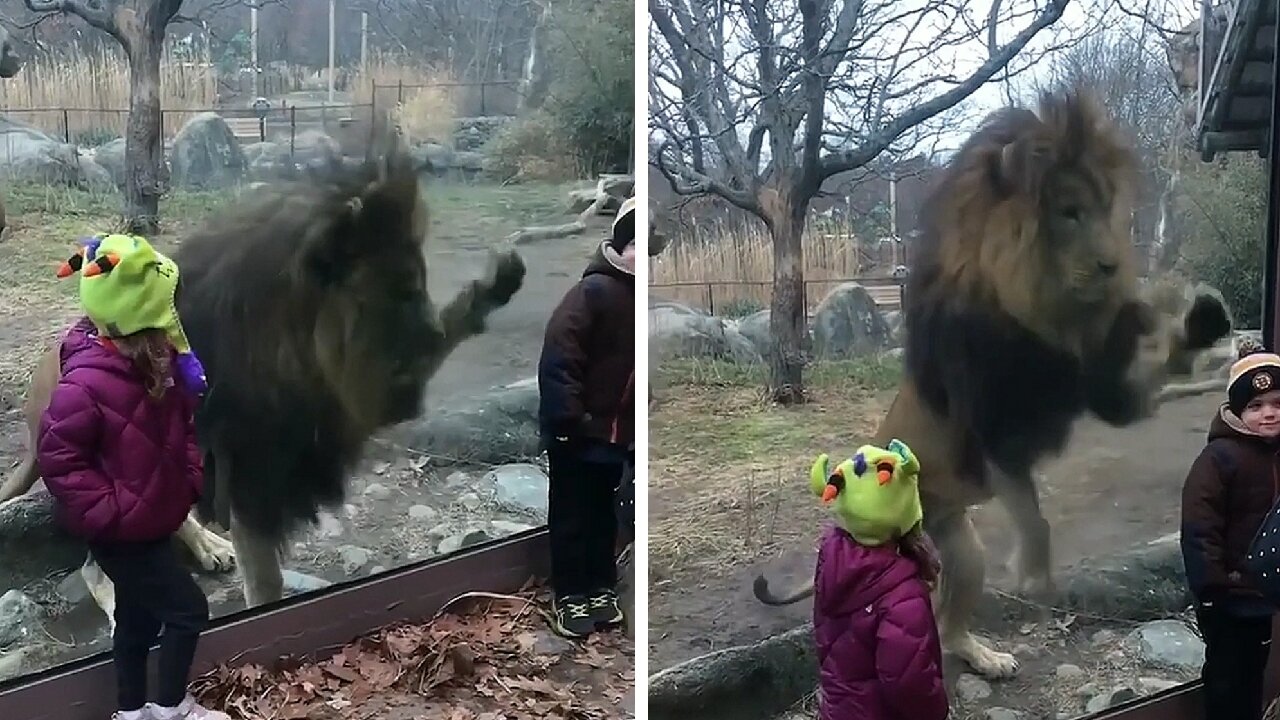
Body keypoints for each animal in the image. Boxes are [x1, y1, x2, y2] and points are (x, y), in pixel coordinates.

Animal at [1, 128, 524, 622]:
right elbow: (266, 583)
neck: (297, 356)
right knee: (99, 567)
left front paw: (499, 281)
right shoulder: (255, 476)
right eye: (404, 292)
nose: (423, 334)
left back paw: (211, 548)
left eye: (419, 286)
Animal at [752, 85, 1233, 676]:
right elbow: (1036, 519)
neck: (1047, 311)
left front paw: (1207, 327)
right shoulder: (996, 433)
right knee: (937, 614)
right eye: (1069, 212)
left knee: (948, 620)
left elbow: (1162, 368)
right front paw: (1035, 576)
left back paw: (985, 658)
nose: (1111, 266)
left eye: (1104, 210)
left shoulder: (1103, 386)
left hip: (962, 547)